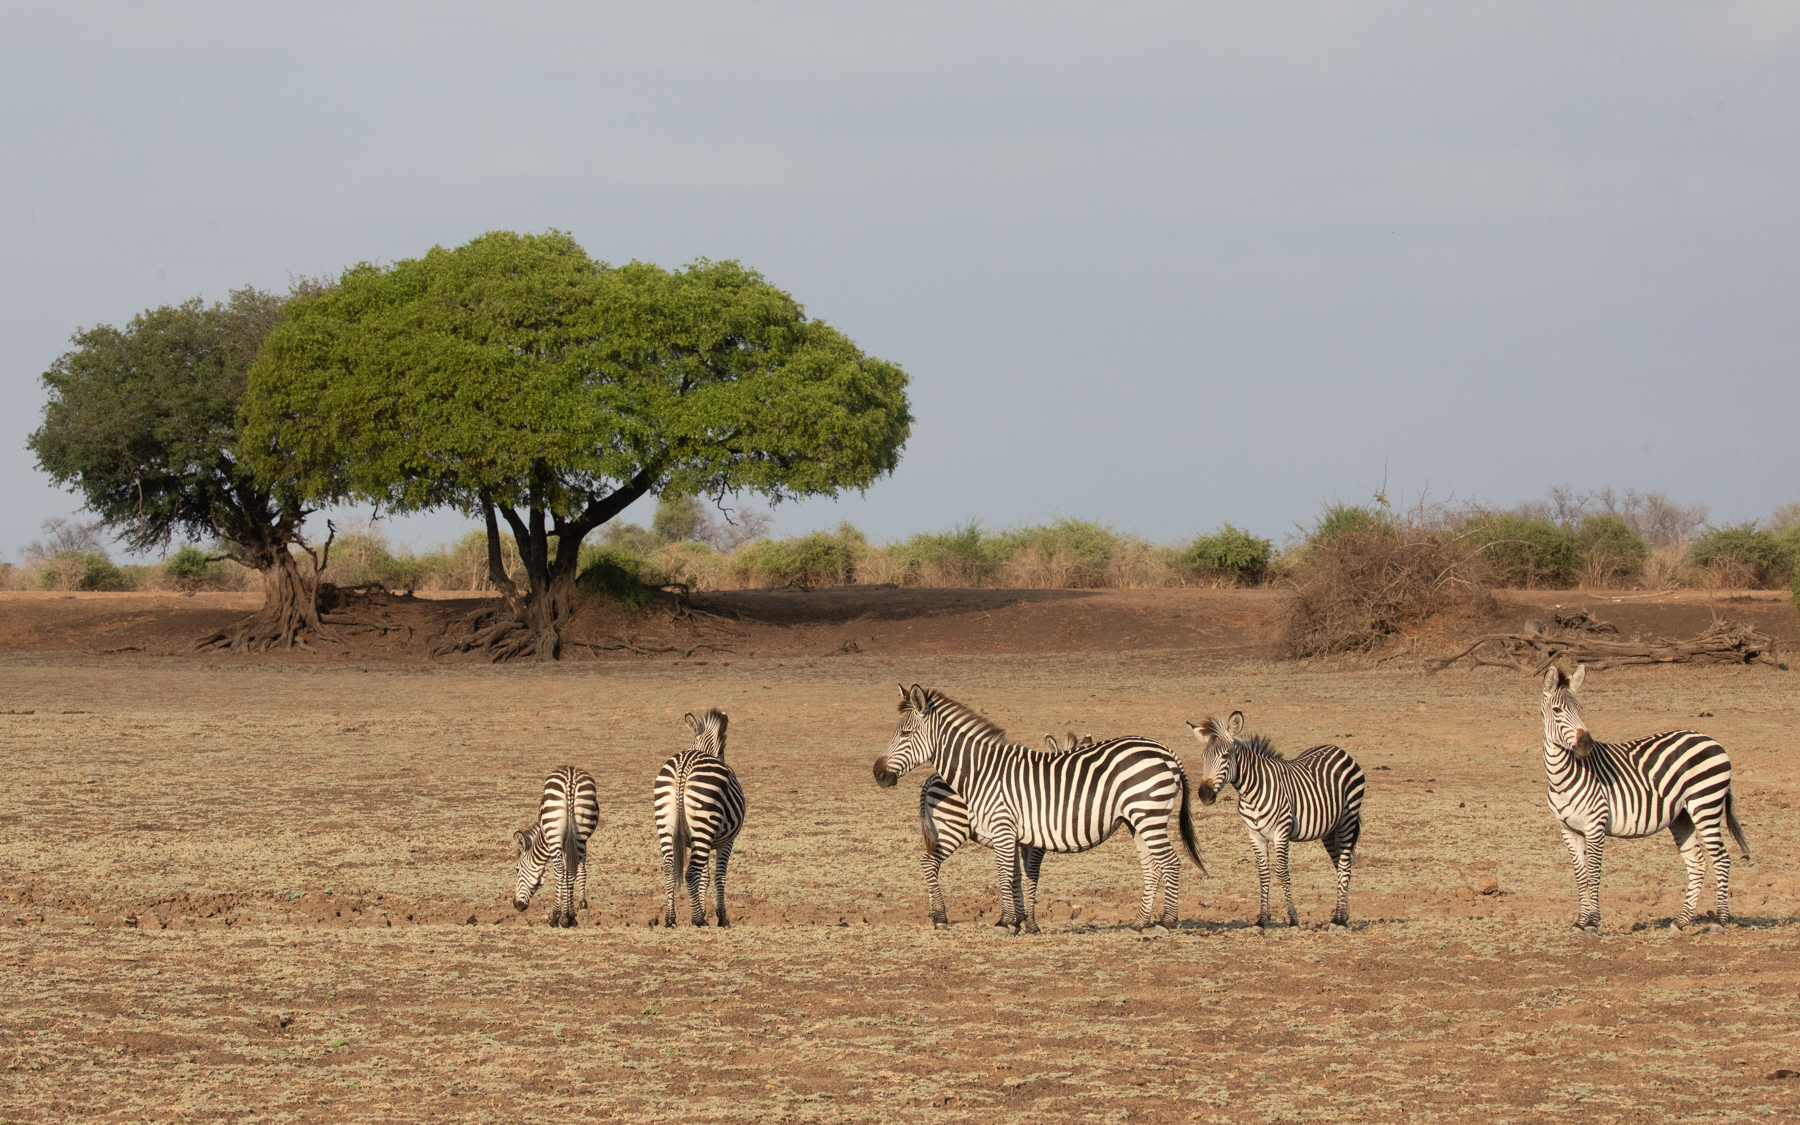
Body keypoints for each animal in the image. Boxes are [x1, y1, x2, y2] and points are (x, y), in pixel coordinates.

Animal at [511, 765, 600, 927]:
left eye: (517, 869)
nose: (517, 905)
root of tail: (570, 777)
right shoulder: (576, 845)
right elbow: (578, 872)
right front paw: (579, 910)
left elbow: (561, 873)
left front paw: (562, 915)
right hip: (581, 831)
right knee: (572, 869)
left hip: (554, 832)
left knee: (559, 870)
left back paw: (555, 917)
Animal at [654, 709, 746, 928]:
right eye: (723, 753)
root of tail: (684, 766)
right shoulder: (726, 841)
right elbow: (719, 876)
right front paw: (721, 917)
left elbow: (705, 877)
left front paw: (704, 910)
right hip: (704, 824)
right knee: (690, 873)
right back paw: (697, 919)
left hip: (666, 823)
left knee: (669, 868)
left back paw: (670, 918)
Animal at [915, 732, 1096, 929]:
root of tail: (933, 778)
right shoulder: (1035, 844)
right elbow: (1031, 876)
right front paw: (1031, 924)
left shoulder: (1018, 841)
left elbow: (1016, 875)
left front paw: (1017, 920)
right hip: (953, 827)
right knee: (929, 862)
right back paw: (940, 917)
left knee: (932, 866)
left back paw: (933, 914)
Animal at [1187, 711, 1365, 928]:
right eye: (1203, 757)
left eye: (1225, 756)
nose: (1204, 794)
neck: (1252, 791)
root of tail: (1338, 750)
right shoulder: (1255, 835)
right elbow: (1263, 874)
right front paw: (1262, 919)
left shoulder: (1281, 833)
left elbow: (1282, 873)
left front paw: (1293, 918)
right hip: (1329, 830)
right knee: (1339, 865)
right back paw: (1340, 916)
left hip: (1347, 820)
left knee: (1345, 867)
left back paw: (1339, 920)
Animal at [1540, 664, 1749, 933]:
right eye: (1557, 710)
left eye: (1580, 709)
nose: (1586, 745)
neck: (1562, 777)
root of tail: (1711, 740)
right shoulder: (1568, 830)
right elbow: (1581, 875)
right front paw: (1580, 921)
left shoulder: (1595, 824)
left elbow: (1594, 872)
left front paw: (1593, 923)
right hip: (1683, 816)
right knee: (1698, 863)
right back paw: (1681, 922)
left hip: (1706, 805)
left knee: (1721, 859)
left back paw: (1720, 921)